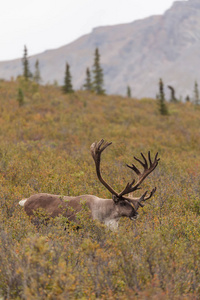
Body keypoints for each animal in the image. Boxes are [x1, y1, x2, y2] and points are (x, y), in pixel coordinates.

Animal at [18, 139, 159, 229]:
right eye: (122, 203)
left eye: (130, 202)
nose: (135, 214)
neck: (104, 214)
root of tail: (25, 201)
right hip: (35, 222)